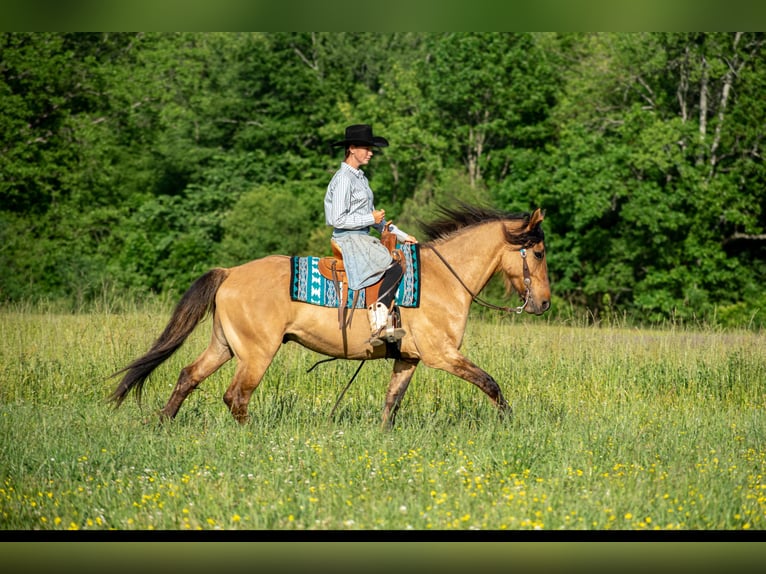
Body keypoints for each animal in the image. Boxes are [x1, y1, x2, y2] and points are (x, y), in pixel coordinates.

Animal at [108, 205, 552, 430]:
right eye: (539, 253)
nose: (544, 304)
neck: (443, 280)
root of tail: (230, 273)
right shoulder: (441, 354)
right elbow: (490, 383)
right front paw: (511, 423)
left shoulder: (409, 358)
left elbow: (392, 402)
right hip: (256, 353)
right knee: (236, 396)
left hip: (224, 345)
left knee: (188, 375)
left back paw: (161, 423)